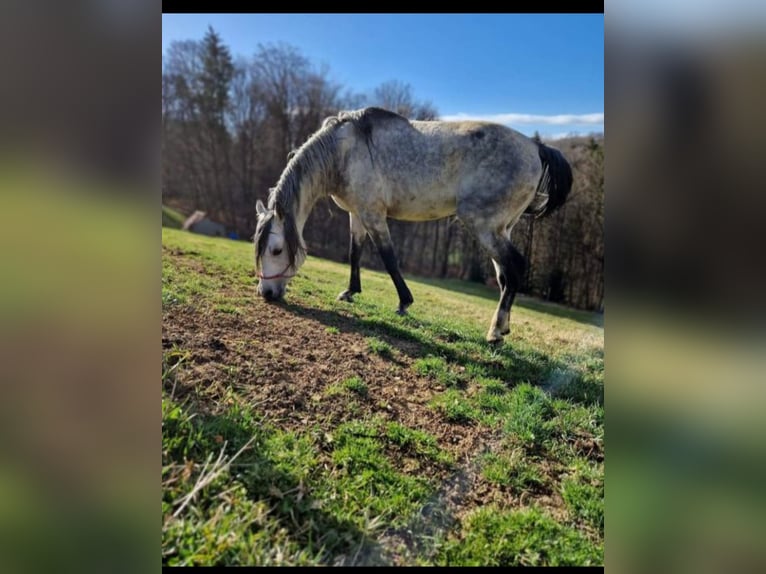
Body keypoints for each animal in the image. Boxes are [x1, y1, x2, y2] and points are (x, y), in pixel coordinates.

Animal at [255, 107, 572, 342]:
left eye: (276, 250)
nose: (265, 294)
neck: (344, 150)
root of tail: (535, 147)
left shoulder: (373, 214)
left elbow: (389, 258)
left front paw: (404, 302)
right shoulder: (357, 214)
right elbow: (355, 253)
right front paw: (350, 292)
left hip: (484, 227)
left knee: (515, 267)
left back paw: (494, 332)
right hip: (501, 229)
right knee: (506, 276)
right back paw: (503, 327)